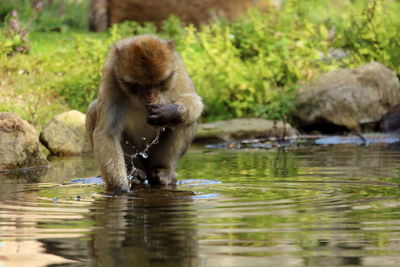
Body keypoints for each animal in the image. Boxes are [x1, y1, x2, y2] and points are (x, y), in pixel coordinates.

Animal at [85, 35, 203, 195]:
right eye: (138, 85)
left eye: (159, 82)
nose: (150, 97)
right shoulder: (111, 76)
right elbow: (106, 133)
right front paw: (119, 190)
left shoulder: (178, 70)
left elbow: (194, 100)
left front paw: (170, 112)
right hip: (137, 160)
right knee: (92, 110)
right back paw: (133, 174)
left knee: (186, 121)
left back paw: (164, 171)